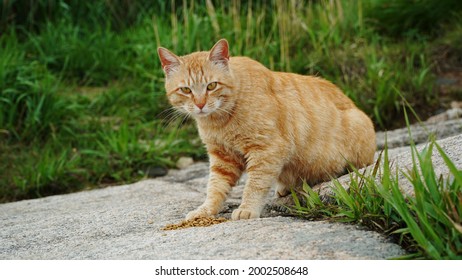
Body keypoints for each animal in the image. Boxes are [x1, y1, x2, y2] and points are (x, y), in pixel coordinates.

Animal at [158, 38, 376, 221]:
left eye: (211, 86)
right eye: (186, 90)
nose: (201, 104)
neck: (219, 121)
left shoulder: (266, 150)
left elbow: (255, 184)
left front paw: (247, 208)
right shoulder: (223, 158)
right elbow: (215, 187)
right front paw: (205, 210)